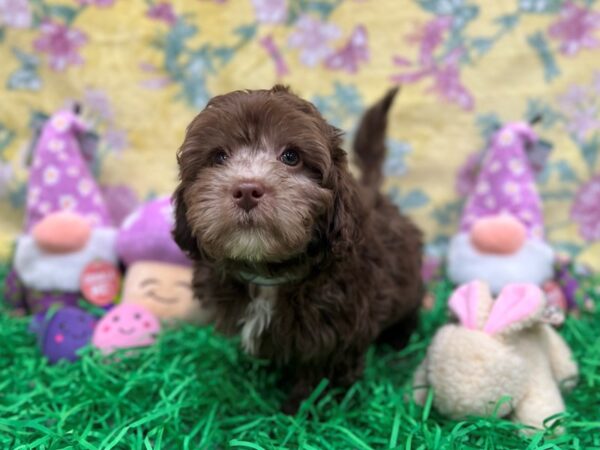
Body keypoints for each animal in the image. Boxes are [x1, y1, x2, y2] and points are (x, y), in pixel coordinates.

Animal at [173, 85, 424, 414]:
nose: (247, 190)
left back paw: (399, 338)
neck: (268, 274)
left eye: (291, 157)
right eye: (219, 157)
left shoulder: (337, 329)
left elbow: (323, 373)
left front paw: (305, 410)